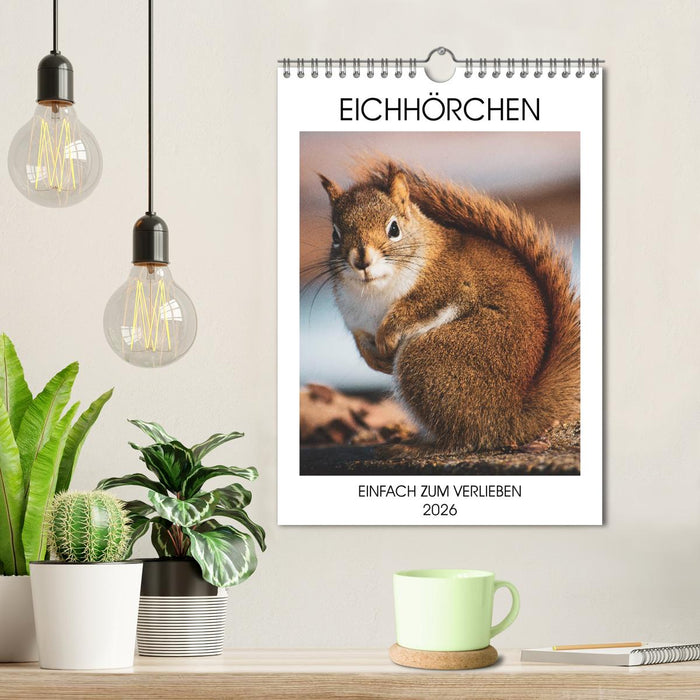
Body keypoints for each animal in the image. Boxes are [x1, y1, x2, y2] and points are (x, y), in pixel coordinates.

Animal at [317, 158, 580, 451]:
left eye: (394, 229)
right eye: (335, 235)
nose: (361, 261)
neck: (373, 291)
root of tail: (513, 417)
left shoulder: (449, 284)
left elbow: (415, 309)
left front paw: (387, 336)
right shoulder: (356, 319)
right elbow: (361, 338)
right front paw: (375, 360)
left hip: (430, 360)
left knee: (465, 435)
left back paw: (416, 444)